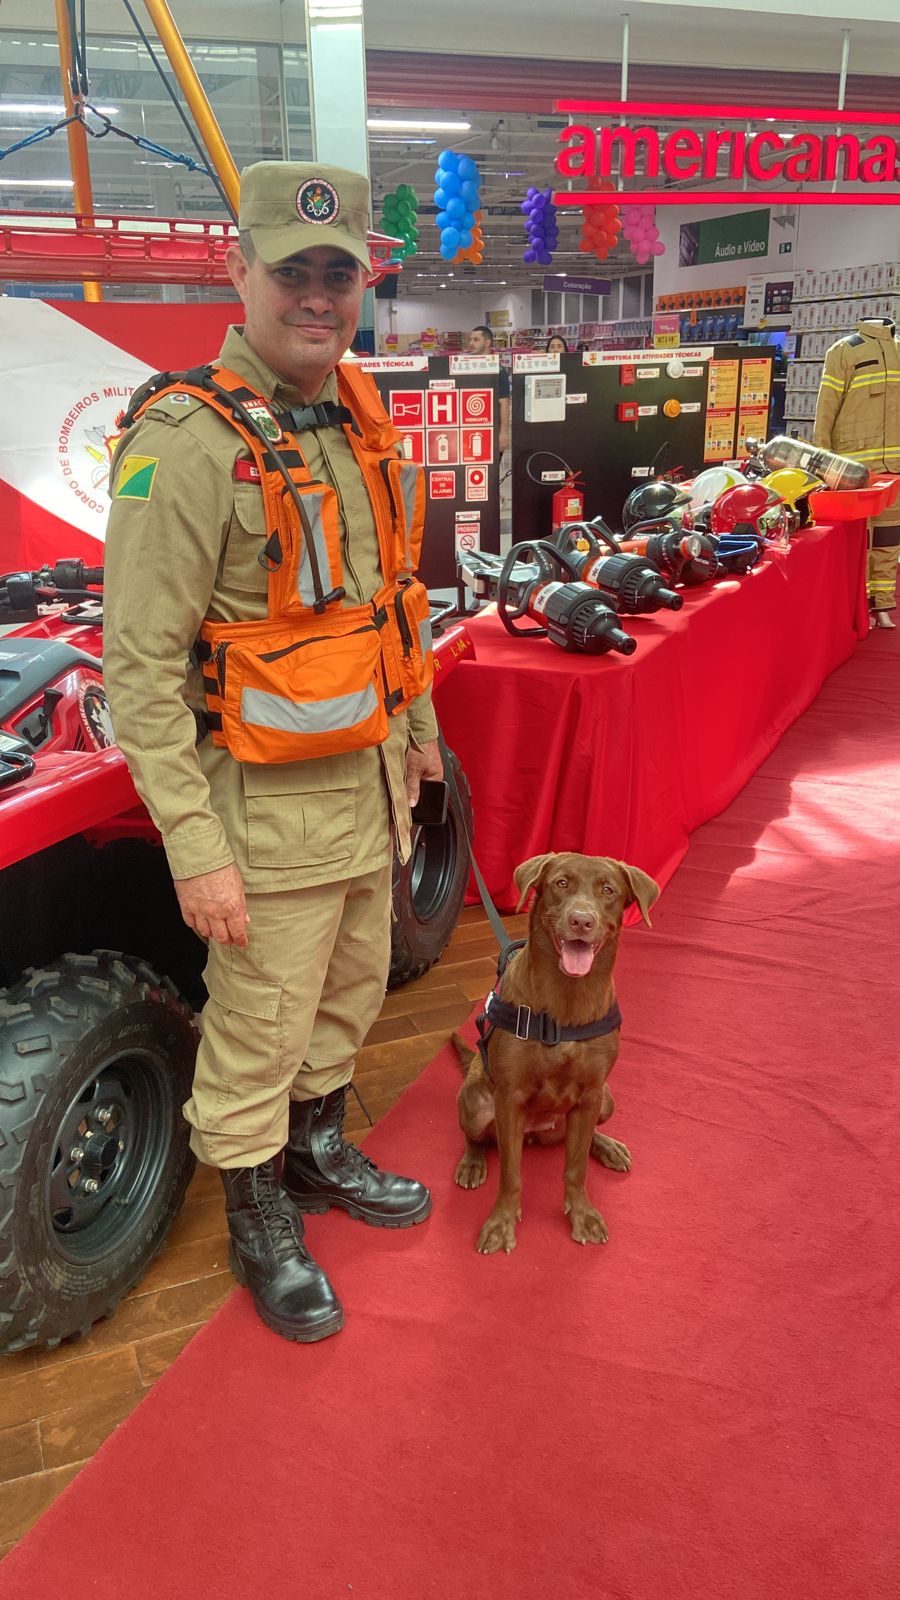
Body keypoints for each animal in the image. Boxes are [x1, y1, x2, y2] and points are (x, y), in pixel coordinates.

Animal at [451, 857, 656, 1254]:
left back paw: (607, 1147)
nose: (581, 921)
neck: (567, 999)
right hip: (475, 1103)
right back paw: (472, 1162)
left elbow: (575, 1168)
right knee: (476, 1136)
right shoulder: (509, 1099)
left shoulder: (590, 1094)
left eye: (608, 890)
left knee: (586, 1135)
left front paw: (582, 1214)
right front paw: (501, 1223)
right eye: (561, 883)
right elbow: (511, 1174)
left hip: (605, 1100)